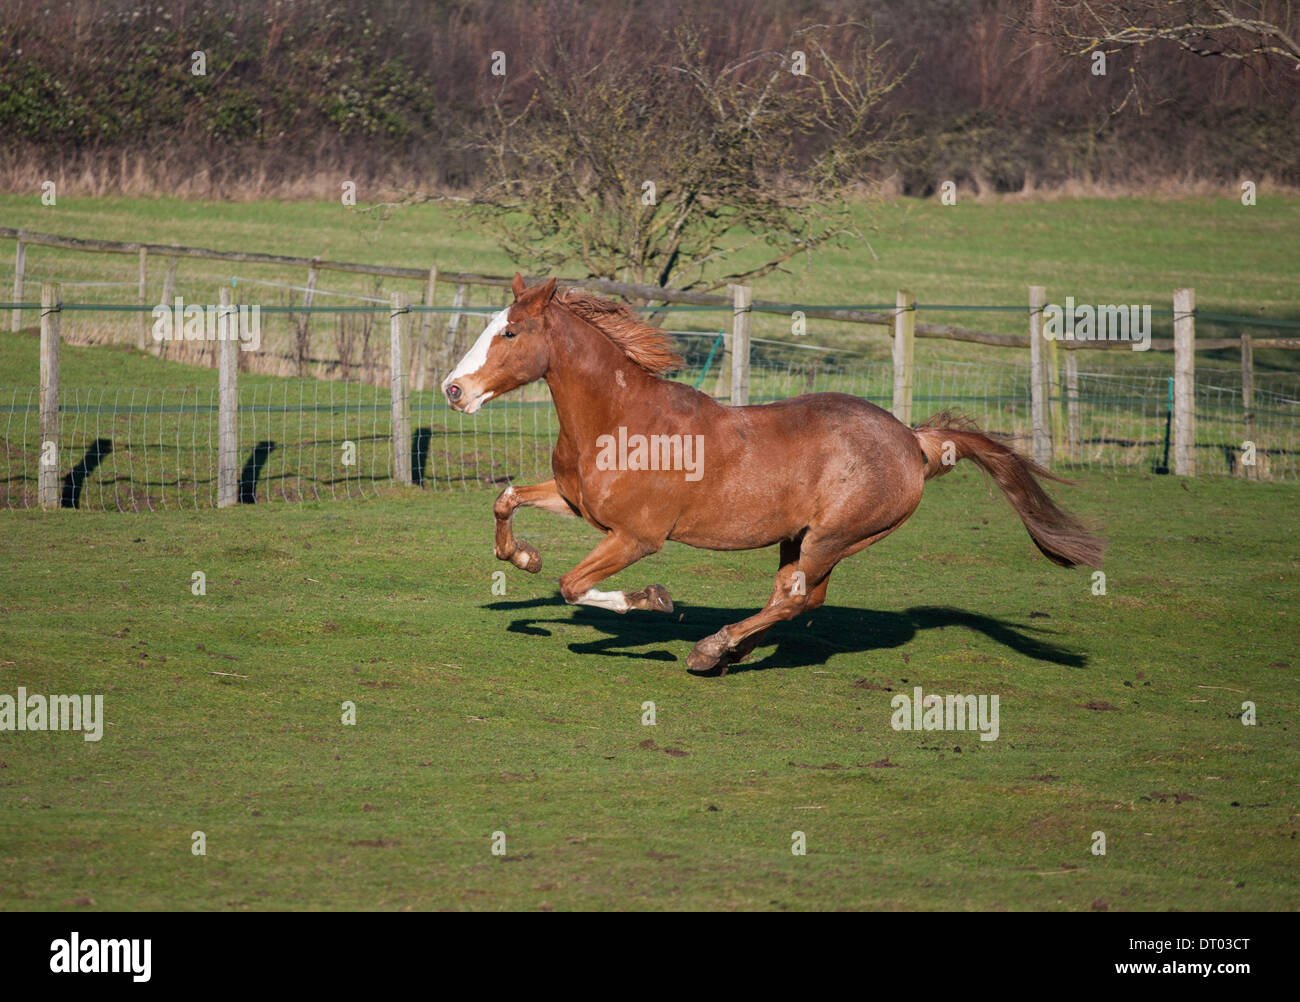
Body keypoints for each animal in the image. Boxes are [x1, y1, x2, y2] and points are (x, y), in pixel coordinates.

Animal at [442, 274, 1104, 675]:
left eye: (510, 331)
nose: (453, 390)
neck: (620, 420)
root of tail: (913, 440)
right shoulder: (578, 503)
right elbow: (506, 500)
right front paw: (523, 556)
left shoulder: (636, 537)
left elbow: (574, 586)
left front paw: (653, 599)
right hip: (802, 538)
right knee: (798, 596)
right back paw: (726, 650)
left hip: (836, 535)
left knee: (794, 595)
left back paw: (711, 649)